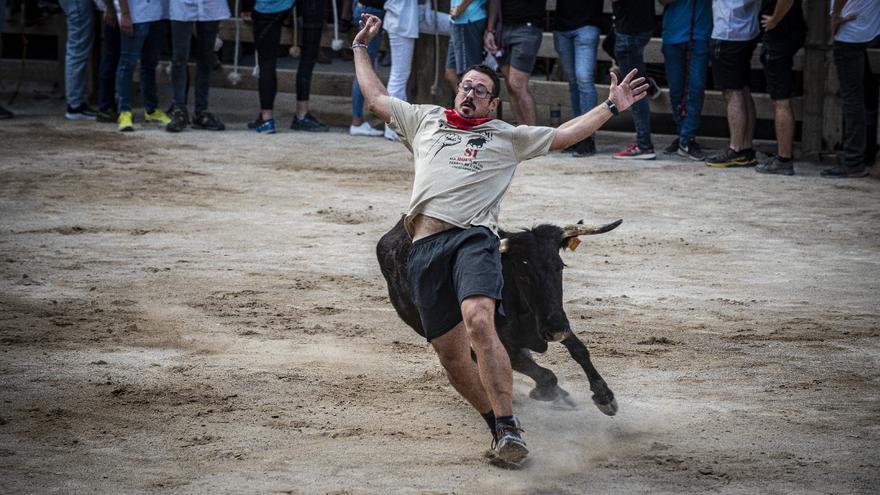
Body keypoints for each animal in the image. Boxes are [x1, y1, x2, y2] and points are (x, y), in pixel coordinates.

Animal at [376, 219, 620, 416]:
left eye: (559, 267)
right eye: (523, 274)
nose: (556, 329)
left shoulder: (550, 320)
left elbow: (579, 350)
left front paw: (605, 397)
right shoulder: (507, 344)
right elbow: (543, 374)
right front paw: (547, 393)